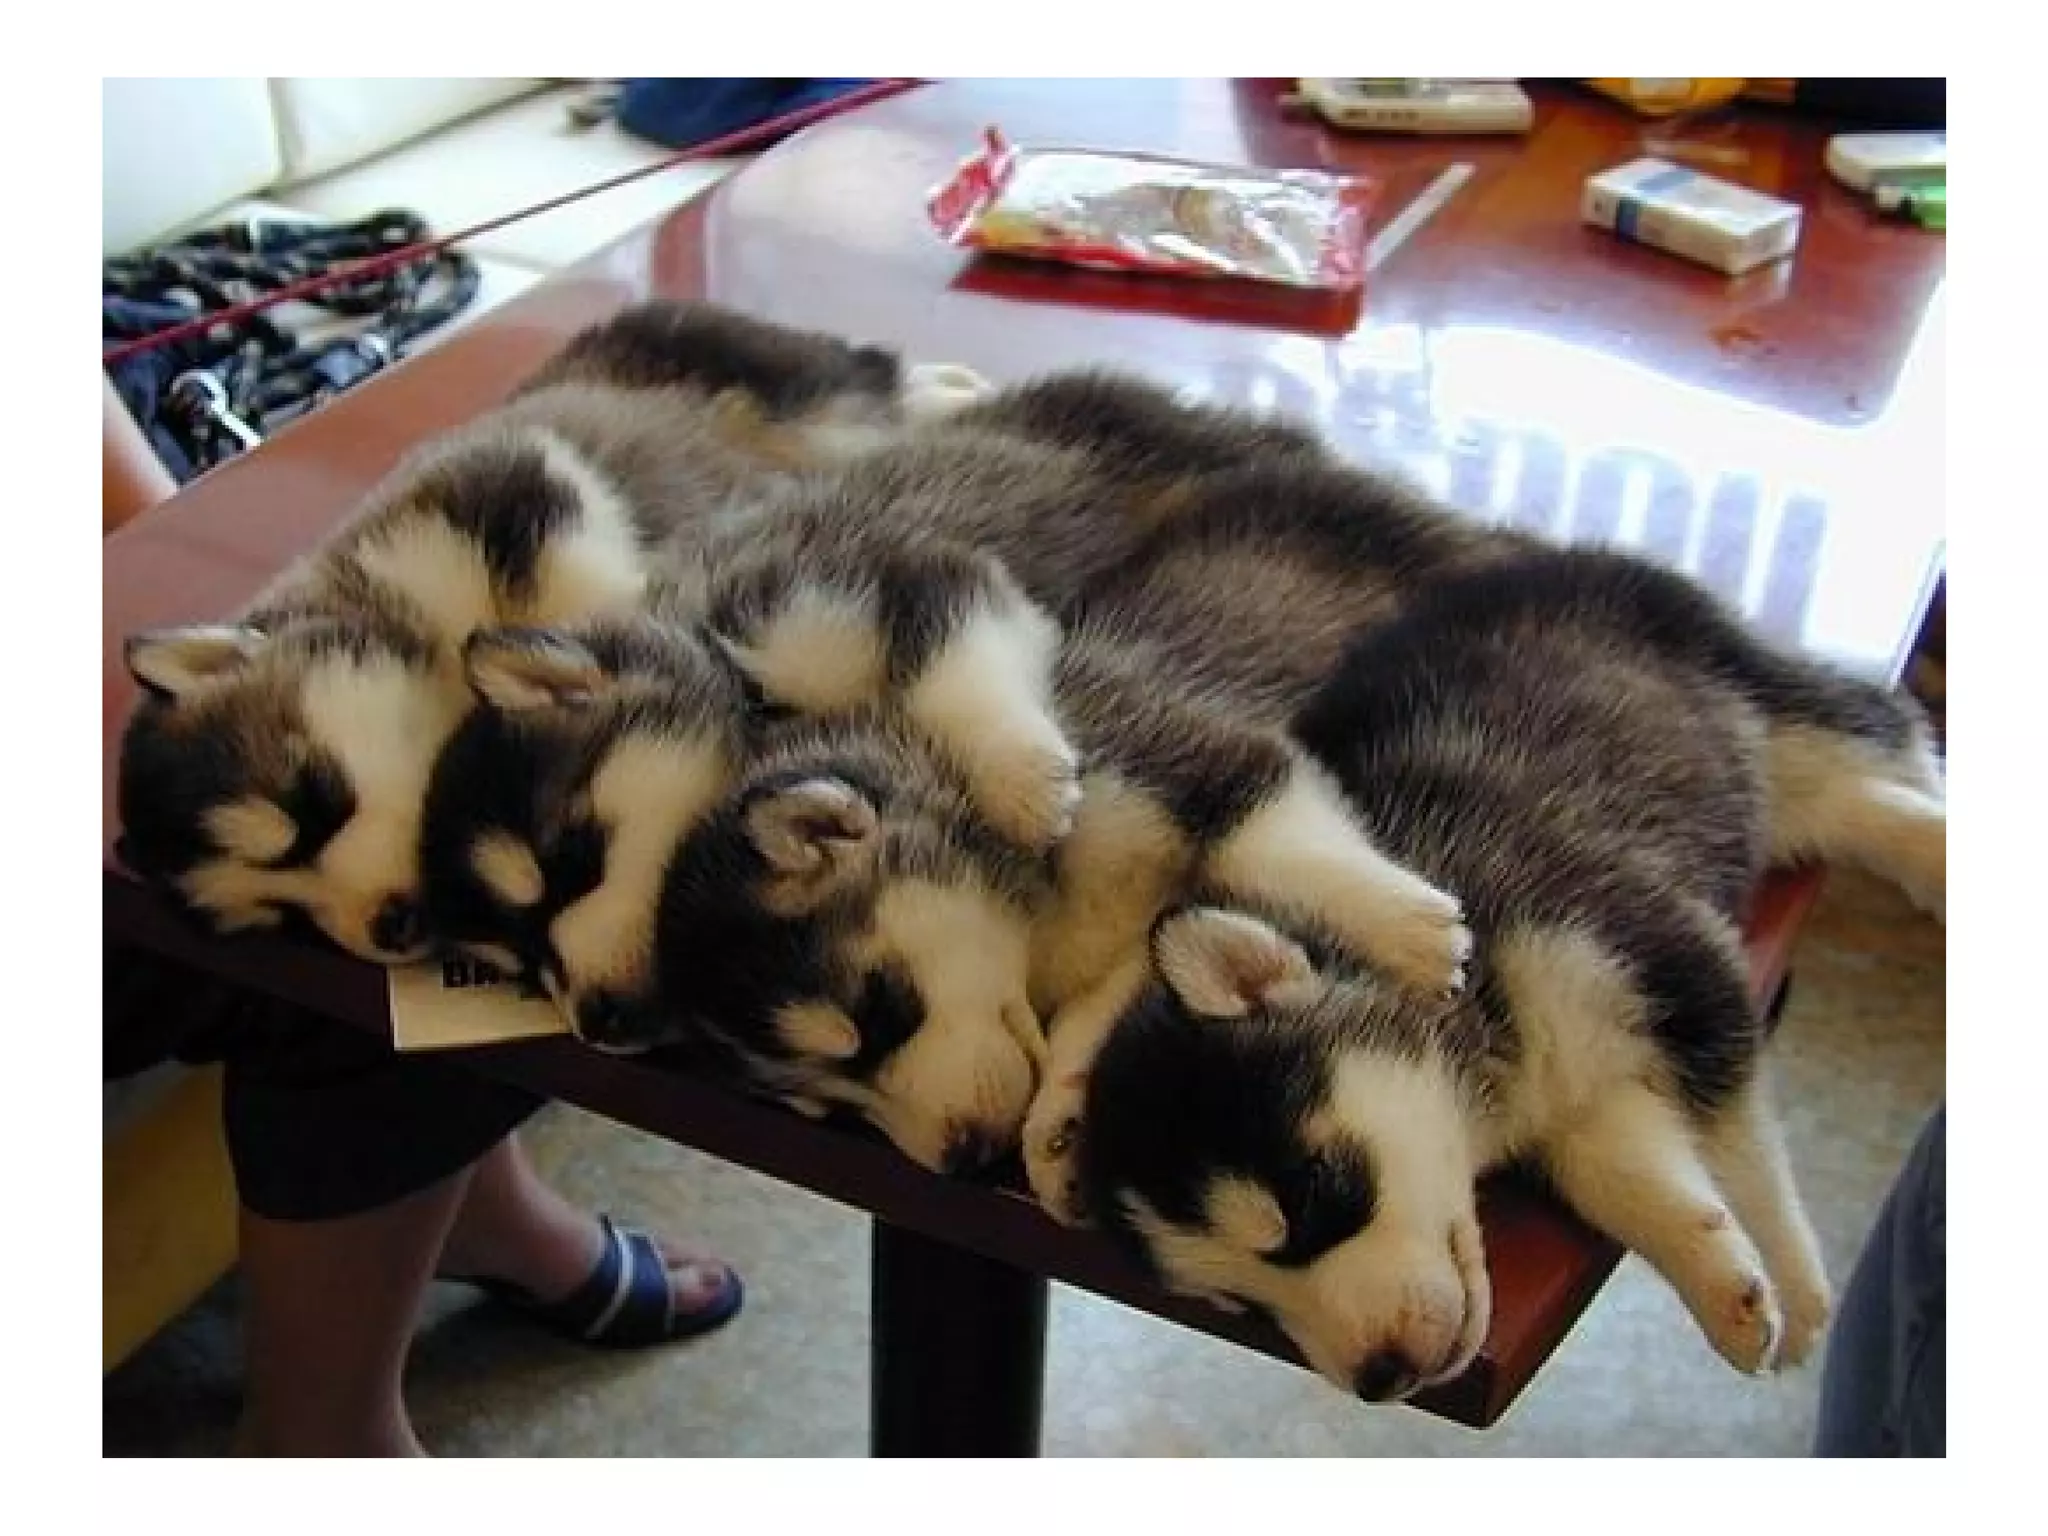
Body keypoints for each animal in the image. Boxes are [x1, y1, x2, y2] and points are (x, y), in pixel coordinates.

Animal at [116, 300, 982, 961]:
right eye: (284, 916)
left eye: (313, 804)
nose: (393, 927)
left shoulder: (521, 491)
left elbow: (584, 585)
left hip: (777, 379)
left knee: (867, 378)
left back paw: (953, 388)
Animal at [1033, 543, 1946, 1400]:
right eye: (1244, 1304)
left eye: (1314, 1198)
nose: (1380, 1377)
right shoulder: (1583, 1103)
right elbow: (1634, 1179)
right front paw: (1730, 1292)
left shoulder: (1673, 965)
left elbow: (1743, 1148)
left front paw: (1797, 1288)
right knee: (1849, 805)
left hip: (1751, 688)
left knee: (1888, 735)